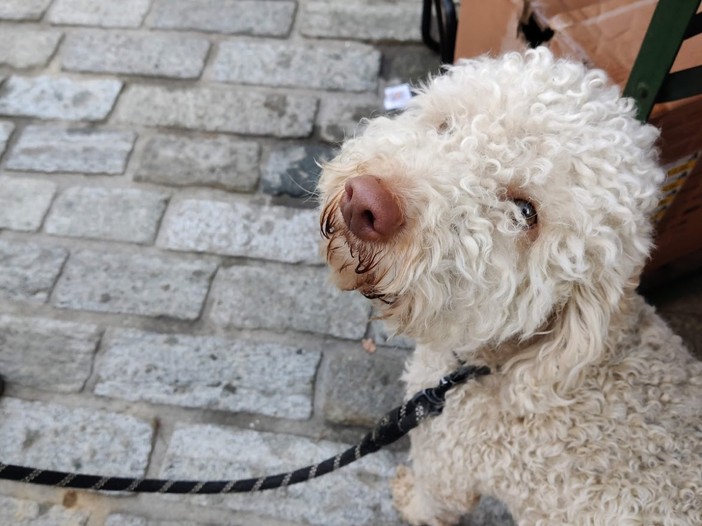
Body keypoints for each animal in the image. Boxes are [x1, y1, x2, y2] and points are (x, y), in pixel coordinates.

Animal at [318, 49, 702, 526]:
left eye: (524, 211)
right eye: (446, 125)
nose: (367, 202)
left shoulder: (448, 463)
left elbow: (431, 503)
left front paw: (407, 498)